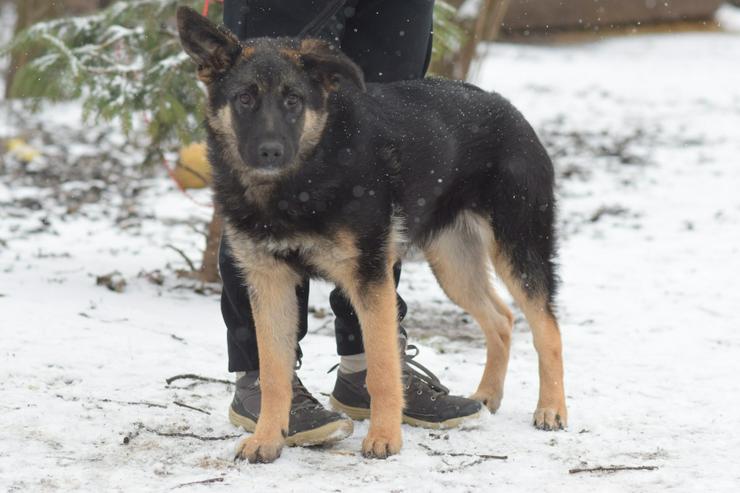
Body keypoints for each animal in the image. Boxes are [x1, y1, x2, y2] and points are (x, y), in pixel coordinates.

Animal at [178, 5, 568, 464]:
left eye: (293, 101)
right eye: (244, 99)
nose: (270, 152)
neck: (309, 170)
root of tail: (508, 108)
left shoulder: (369, 276)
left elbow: (382, 366)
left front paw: (384, 436)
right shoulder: (269, 282)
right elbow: (274, 371)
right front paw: (268, 438)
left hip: (517, 248)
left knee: (546, 327)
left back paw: (552, 409)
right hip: (454, 264)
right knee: (502, 318)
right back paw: (487, 395)